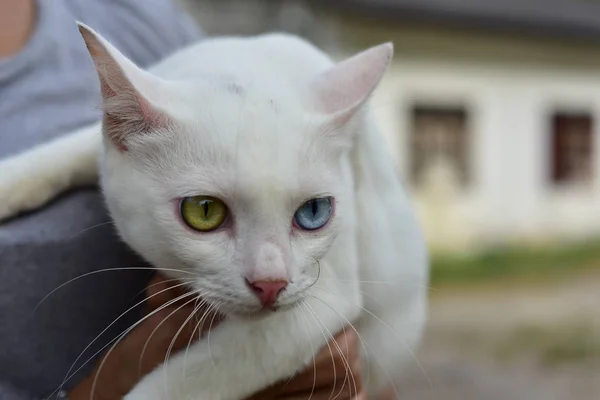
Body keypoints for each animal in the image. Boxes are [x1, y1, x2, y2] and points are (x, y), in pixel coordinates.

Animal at [1, 25, 432, 400]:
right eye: (204, 211)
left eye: (313, 212)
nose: (271, 283)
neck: (244, 68)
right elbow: (59, 153)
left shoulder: (320, 301)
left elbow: (187, 380)